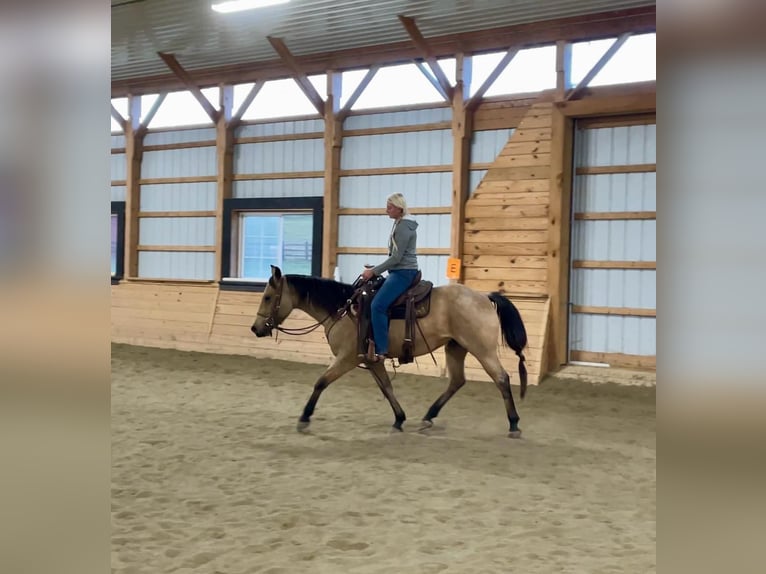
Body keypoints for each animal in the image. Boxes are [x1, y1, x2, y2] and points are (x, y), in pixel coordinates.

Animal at [252, 268, 528, 438]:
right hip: (456, 347)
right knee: (457, 381)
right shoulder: (372, 360)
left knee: (502, 379)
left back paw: (514, 424)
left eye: (268, 297)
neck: (343, 309)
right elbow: (386, 388)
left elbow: (321, 382)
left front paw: (304, 418)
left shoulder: (347, 358)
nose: (255, 328)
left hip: (481, 349)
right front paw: (399, 419)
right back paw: (428, 417)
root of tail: (484, 297)